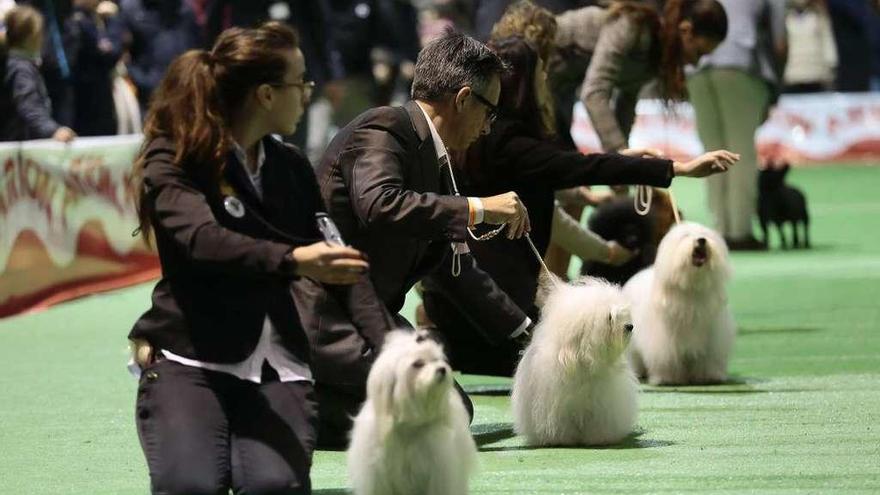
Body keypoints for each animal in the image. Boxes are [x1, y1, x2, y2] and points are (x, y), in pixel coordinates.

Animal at [348, 330, 478, 495]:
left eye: (436, 360)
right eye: (418, 364)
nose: (442, 369)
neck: (409, 426)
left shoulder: (438, 470)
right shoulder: (378, 472)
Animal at [508, 280, 640, 450]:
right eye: (610, 317)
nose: (630, 326)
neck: (582, 361)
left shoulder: (601, 406)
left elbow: (599, 422)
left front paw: (599, 438)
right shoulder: (555, 406)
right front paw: (560, 439)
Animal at [624, 222, 740, 388]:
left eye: (706, 234)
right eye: (686, 235)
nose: (701, 240)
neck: (691, 289)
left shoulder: (711, 340)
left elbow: (707, 359)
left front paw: (708, 377)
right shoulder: (663, 343)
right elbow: (667, 360)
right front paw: (668, 379)